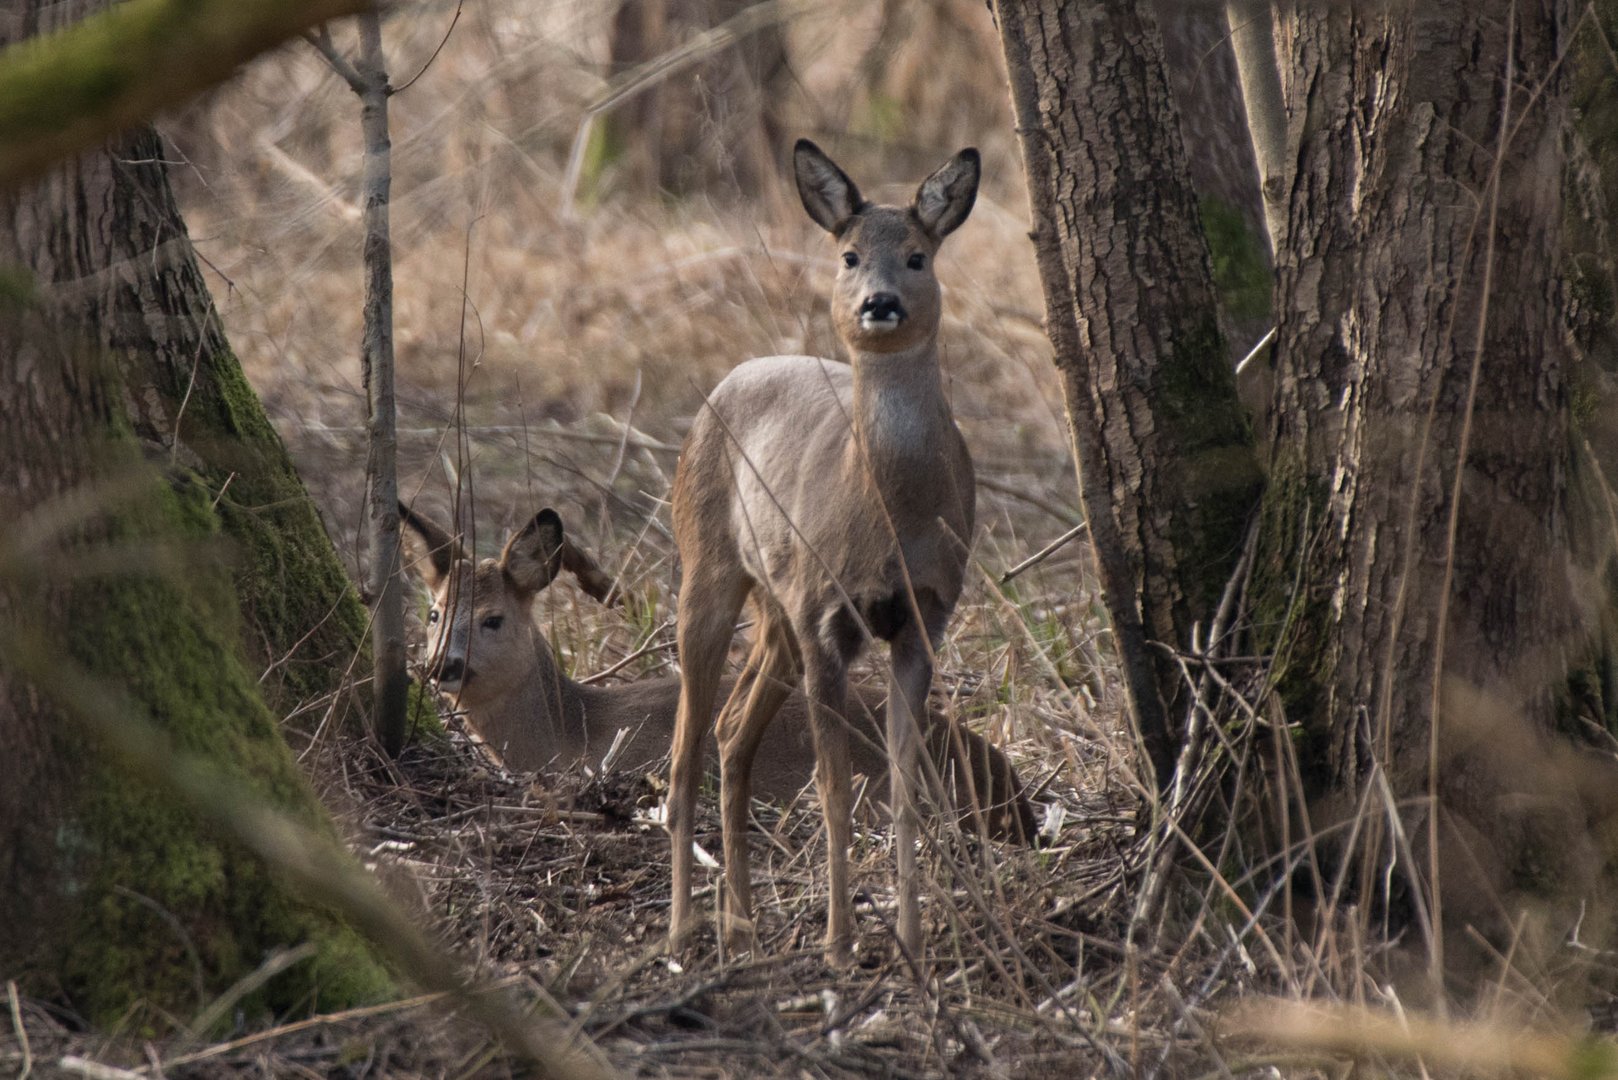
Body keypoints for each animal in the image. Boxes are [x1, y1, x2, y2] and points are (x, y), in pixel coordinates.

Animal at [666, 141, 977, 965]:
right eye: (848, 255)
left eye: (917, 255)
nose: (879, 302)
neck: (890, 519)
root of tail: (727, 381)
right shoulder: (827, 618)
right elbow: (834, 791)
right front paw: (840, 942)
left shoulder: (923, 617)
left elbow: (904, 787)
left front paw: (912, 942)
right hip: (706, 567)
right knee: (683, 752)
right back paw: (683, 929)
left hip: (778, 606)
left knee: (730, 733)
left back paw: (741, 919)